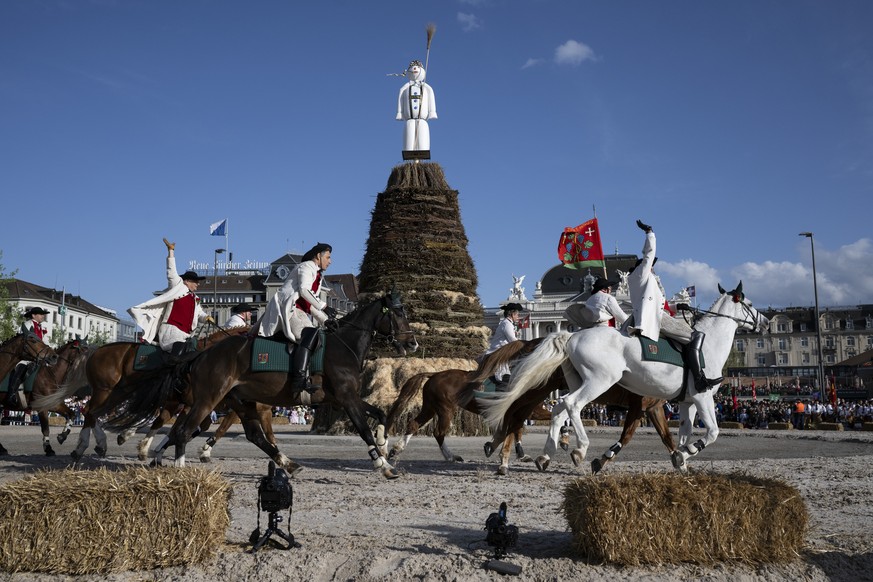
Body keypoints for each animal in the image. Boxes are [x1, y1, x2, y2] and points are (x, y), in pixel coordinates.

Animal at [95, 290, 418, 482]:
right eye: (399, 314)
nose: (413, 342)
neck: (342, 346)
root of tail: (202, 353)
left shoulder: (341, 399)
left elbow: (380, 414)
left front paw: (385, 446)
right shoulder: (347, 399)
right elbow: (364, 428)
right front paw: (383, 464)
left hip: (238, 401)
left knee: (249, 435)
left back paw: (288, 463)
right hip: (208, 400)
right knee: (182, 430)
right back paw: (176, 467)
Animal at [476, 284, 768, 474]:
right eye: (750, 304)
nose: (765, 322)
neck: (705, 346)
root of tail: (571, 336)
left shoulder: (683, 402)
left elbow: (680, 434)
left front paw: (681, 459)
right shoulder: (699, 396)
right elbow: (711, 433)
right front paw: (686, 454)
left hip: (576, 382)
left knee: (558, 409)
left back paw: (545, 454)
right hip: (596, 382)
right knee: (567, 406)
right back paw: (576, 449)